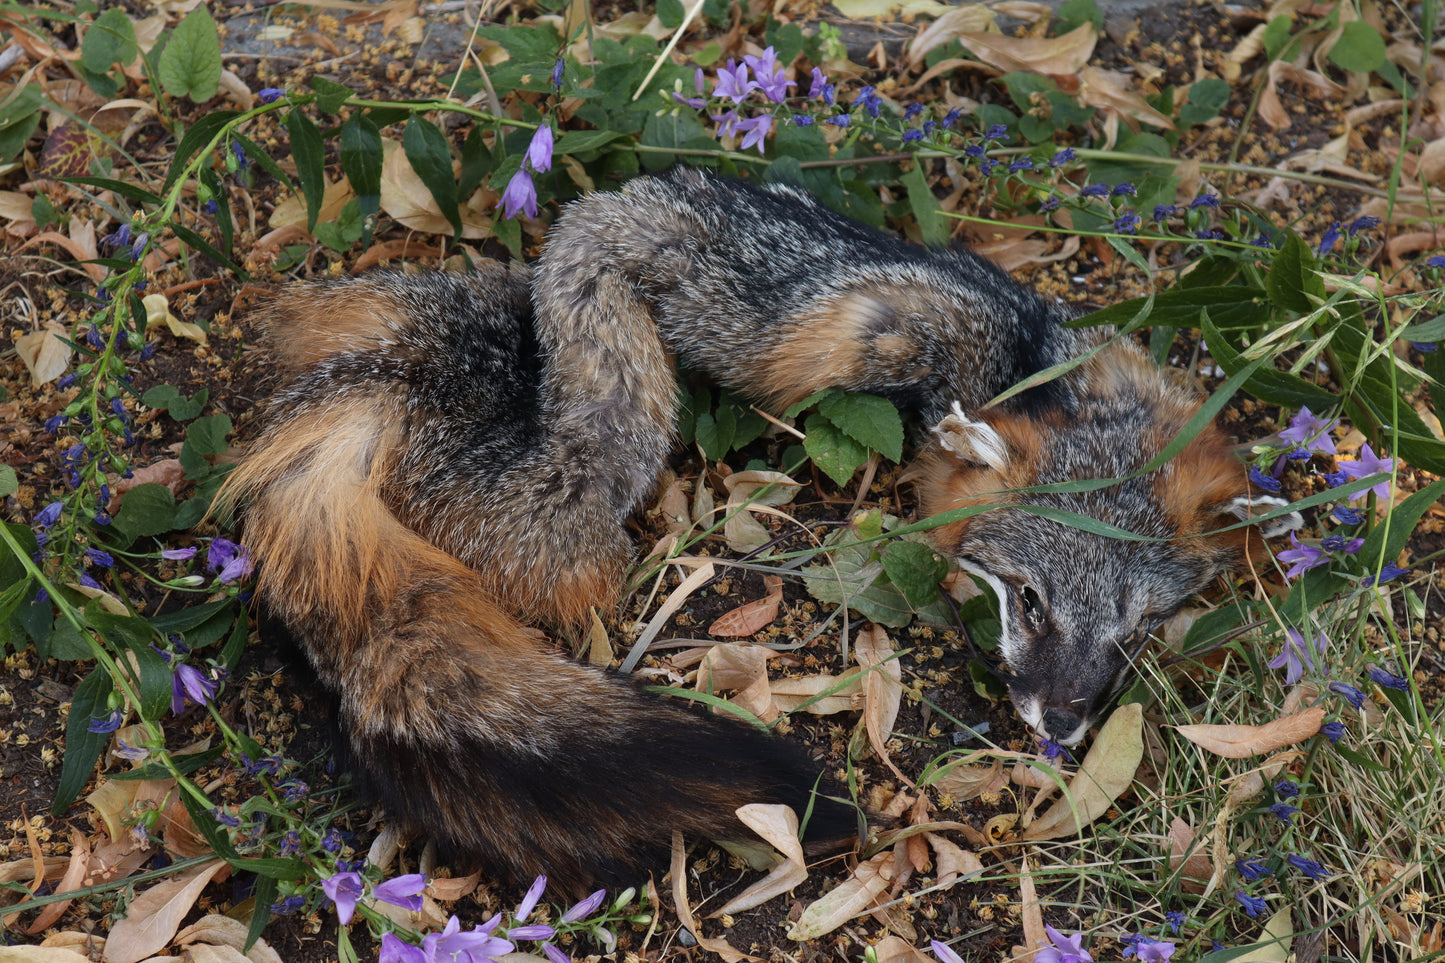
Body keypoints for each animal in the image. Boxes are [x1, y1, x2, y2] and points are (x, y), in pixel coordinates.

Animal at [219, 166, 1301, 890]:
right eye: (1030, 602)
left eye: (1133, 631)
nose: (1062, 727)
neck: (1048, 374)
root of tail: (360, 402)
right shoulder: (880, 316)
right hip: (593, 436)